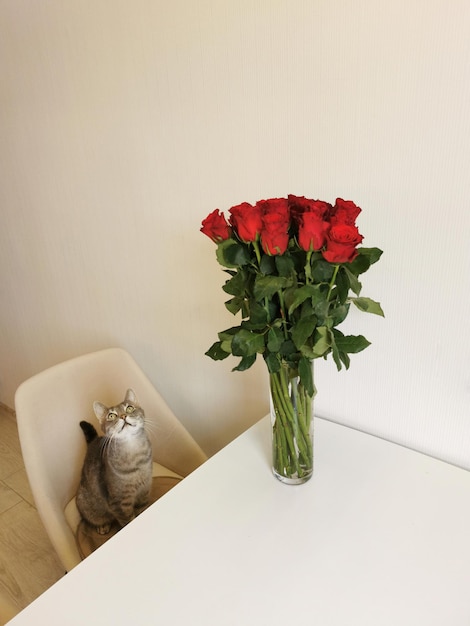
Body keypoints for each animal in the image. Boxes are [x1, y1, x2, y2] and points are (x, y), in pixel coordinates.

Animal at [75, 386, 152, 532]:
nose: (123, 416)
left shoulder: (145, 490)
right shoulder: (119, 504)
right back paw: (103, 525)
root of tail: (93, 442)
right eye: (111, 416)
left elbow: (144, 508)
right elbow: (128, 521)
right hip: (87, 506)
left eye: (129, 408)